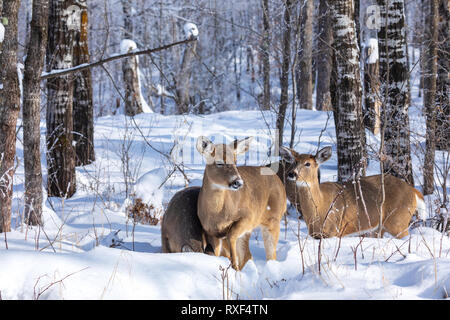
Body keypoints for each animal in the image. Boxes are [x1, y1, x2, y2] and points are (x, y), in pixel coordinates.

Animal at [196, 135, 286, 270]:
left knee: (270, 255)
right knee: (248, 255)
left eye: (235, 161)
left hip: (273, 219)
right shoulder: (210, 231)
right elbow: (216, 252)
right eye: (219, 162)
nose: (238, 182)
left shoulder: (248, 216)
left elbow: (231, 236)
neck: (216, 214)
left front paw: (234, 267)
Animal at [282, 146, 426, 239]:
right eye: (294, 162)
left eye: (308, 164)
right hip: (380, 227)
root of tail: (413, 191)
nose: (291, 174)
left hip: (398, 220)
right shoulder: (315, 234)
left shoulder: (334, 231)